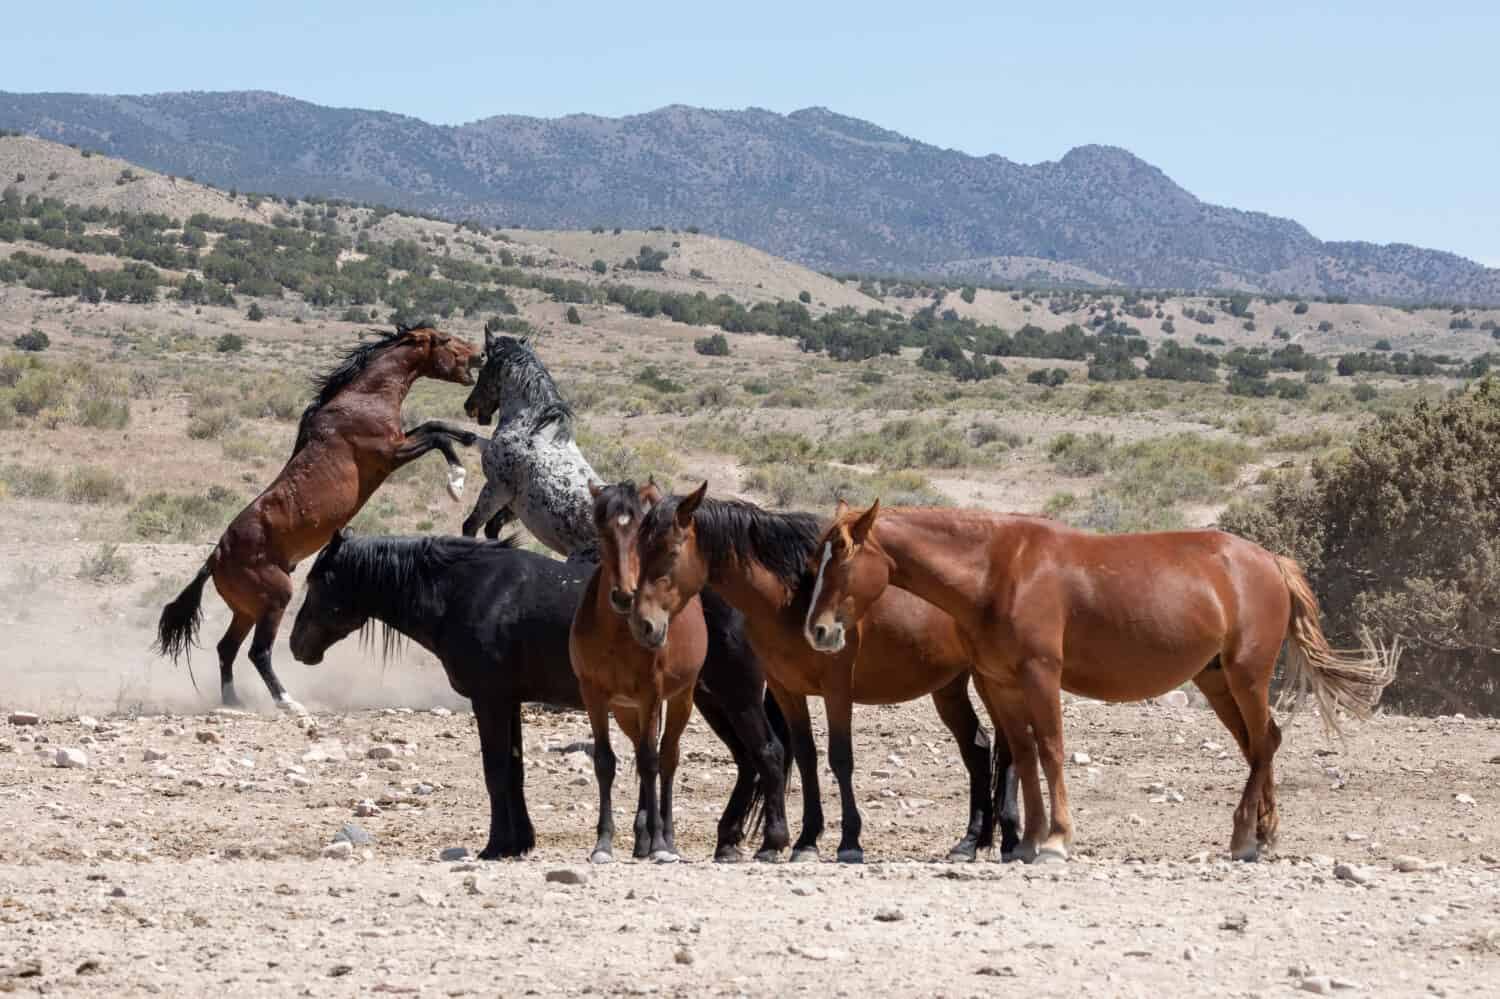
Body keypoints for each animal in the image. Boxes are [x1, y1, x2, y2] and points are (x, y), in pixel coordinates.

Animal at [152, 321, 480, 708]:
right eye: (445, 340)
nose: (478, 353)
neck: (364, 396)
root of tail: (215, 557)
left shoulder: (399, 441)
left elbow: (435, 425)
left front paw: (471, 437)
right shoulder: (390, 453)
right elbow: (436, 437)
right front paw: (456, 482)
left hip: (246, 610)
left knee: (226, 649)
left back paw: (234, 702)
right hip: (276, 599)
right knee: (257, 652)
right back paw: (287, 702)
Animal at [285, 525, 792, 858]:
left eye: (318, 581)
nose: (295, 646)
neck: (466, 591)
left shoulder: (489, 700)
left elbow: (495, 771)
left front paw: (495, 846)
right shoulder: (507, 701)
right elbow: (513, 769)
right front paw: (519, 842)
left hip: (735, 694)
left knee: (768, 755)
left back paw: (772, 844)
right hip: (709, 698)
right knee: (748, 762)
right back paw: (727, 842)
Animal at [573, 480, 714, 858]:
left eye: (640, 535)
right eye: (602, 532)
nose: (625, 596)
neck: (617, 634)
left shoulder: (652, 693)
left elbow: (652, 762)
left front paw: (660, 843)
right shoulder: (594, 694)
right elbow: (605, 761)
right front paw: (603, 843)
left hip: (680, 699)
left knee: (665, 758)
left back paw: (664, 837)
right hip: (627, 710)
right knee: (640, 750)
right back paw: (641, 838)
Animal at [621, 483, 1020, 864]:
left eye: (671, 551)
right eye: (639, 549)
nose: (643, 623)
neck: (791, 598)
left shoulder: (836, 688)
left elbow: (839, 757)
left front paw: (849, 842)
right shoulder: (787, 688)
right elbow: (804, 755)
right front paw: (800, 841)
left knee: (1010, 747)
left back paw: (1011, 838)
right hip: (949, 687)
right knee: (977, 748)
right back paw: (970, 842)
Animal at [804, 501, 1398, 858]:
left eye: (844, 557)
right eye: (815, 559)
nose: (819, 630)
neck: (997, 572)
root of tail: (1270, 561)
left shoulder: (1041, 676)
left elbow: (1050, 749)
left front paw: (1058, 839)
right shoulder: (1000, 683)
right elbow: (1024, 754)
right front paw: (1028, 841)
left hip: (1247, 675)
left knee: (1263, 743)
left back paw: (1243, 837)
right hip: (1217, 682)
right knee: (1261, 743)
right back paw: (1264, 834)